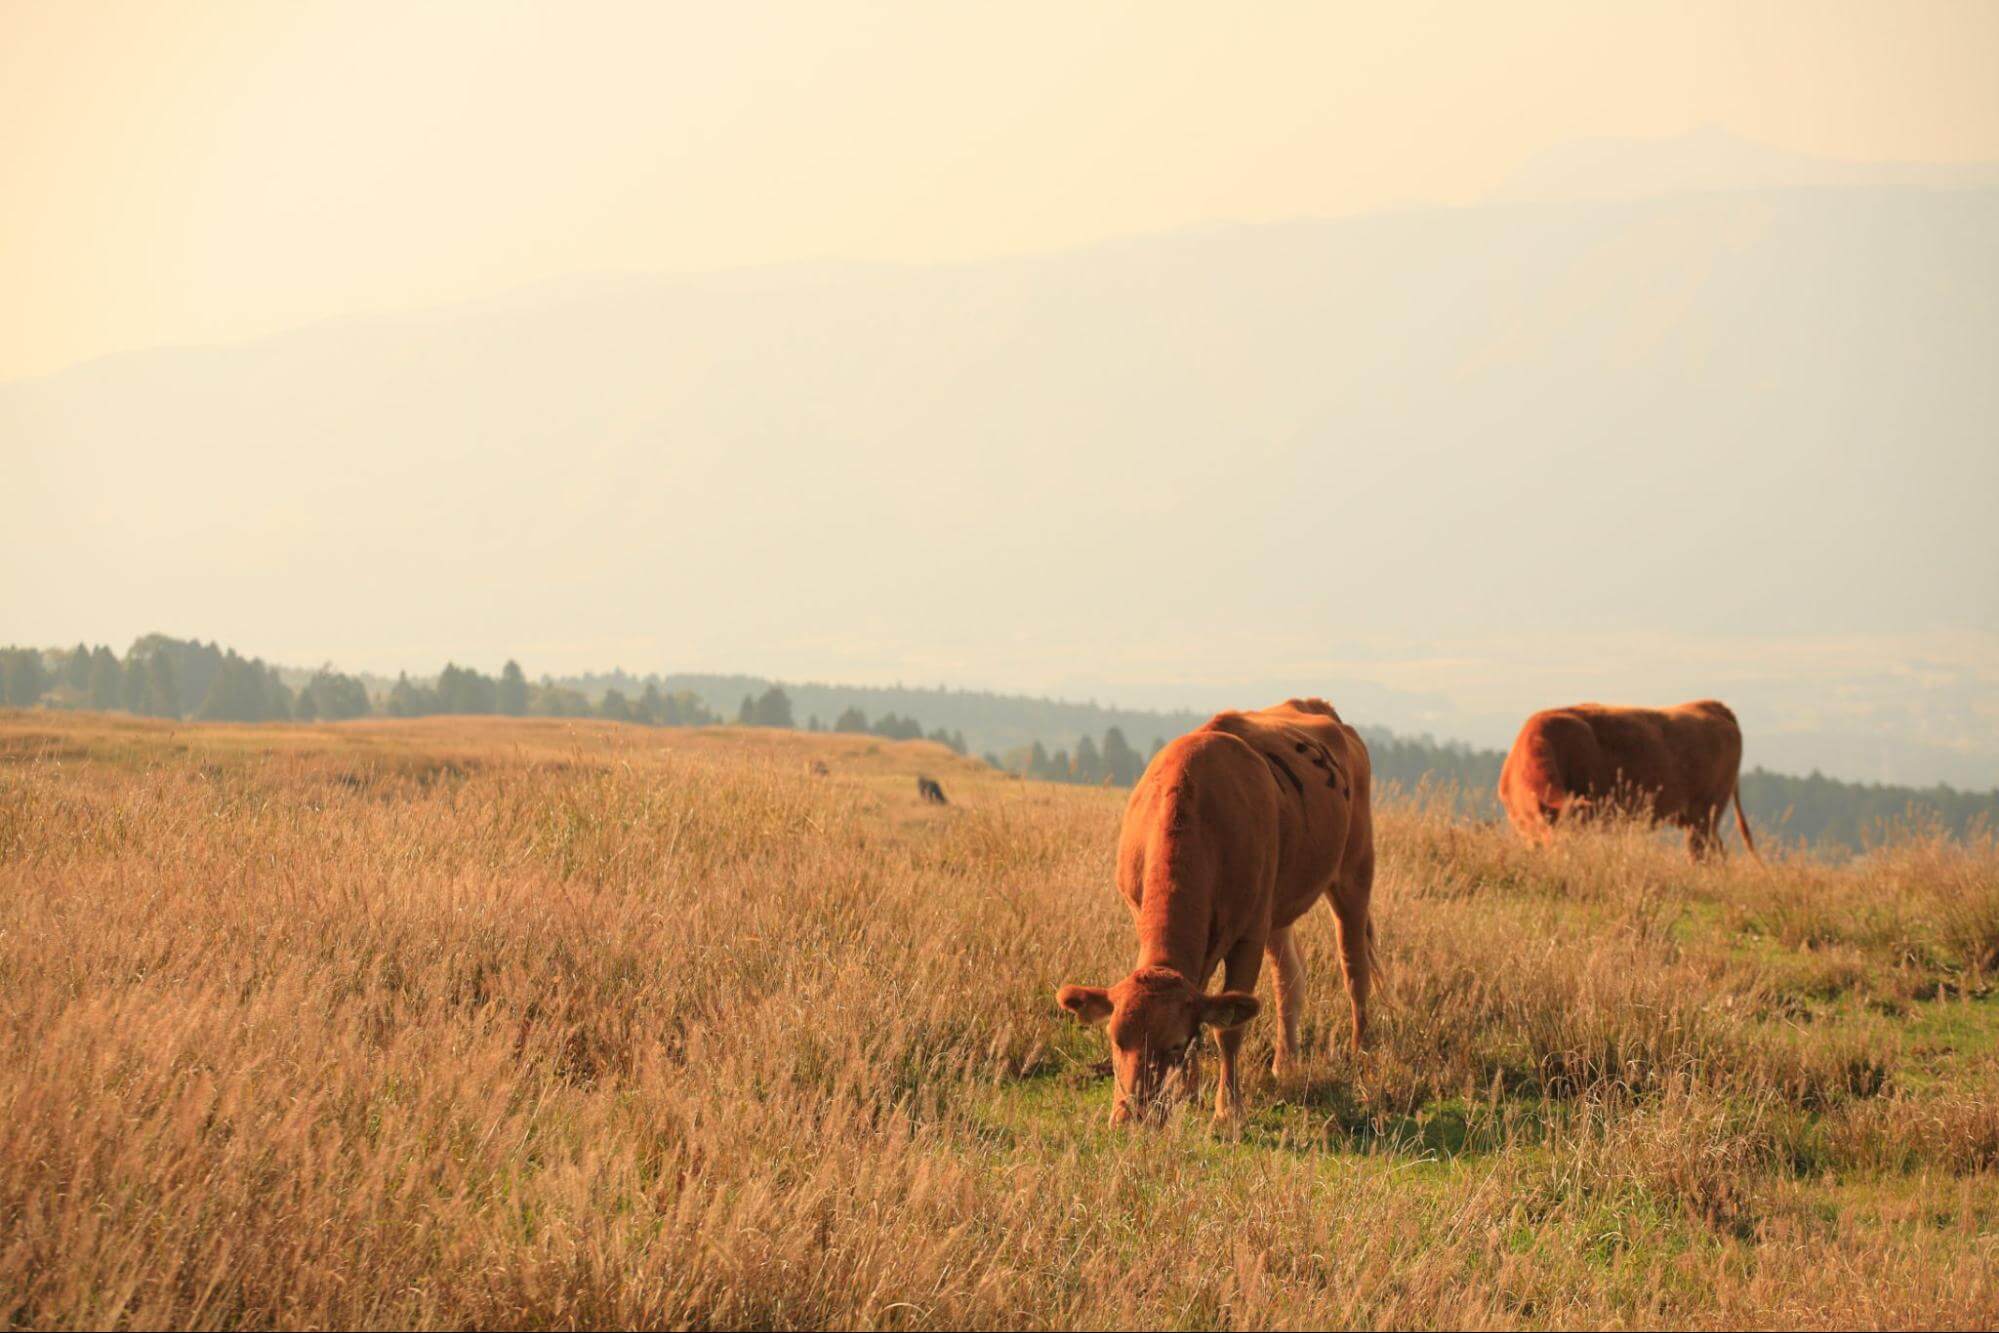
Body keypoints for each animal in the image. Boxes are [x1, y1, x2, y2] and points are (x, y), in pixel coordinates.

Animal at [1063, 703, 1375, 1135]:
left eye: (1174, 1044)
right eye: (1115, 1040)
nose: (1130, 1117)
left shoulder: (1248, 937)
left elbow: (1228, 1027)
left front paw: (1228, 1108)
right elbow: (1204, 999)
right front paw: (1189, 1092)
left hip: (1354, 873)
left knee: (1354, 970)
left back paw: (1362, 1057)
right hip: (1277, 909)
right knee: (1290, 978)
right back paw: (1286, 1063)